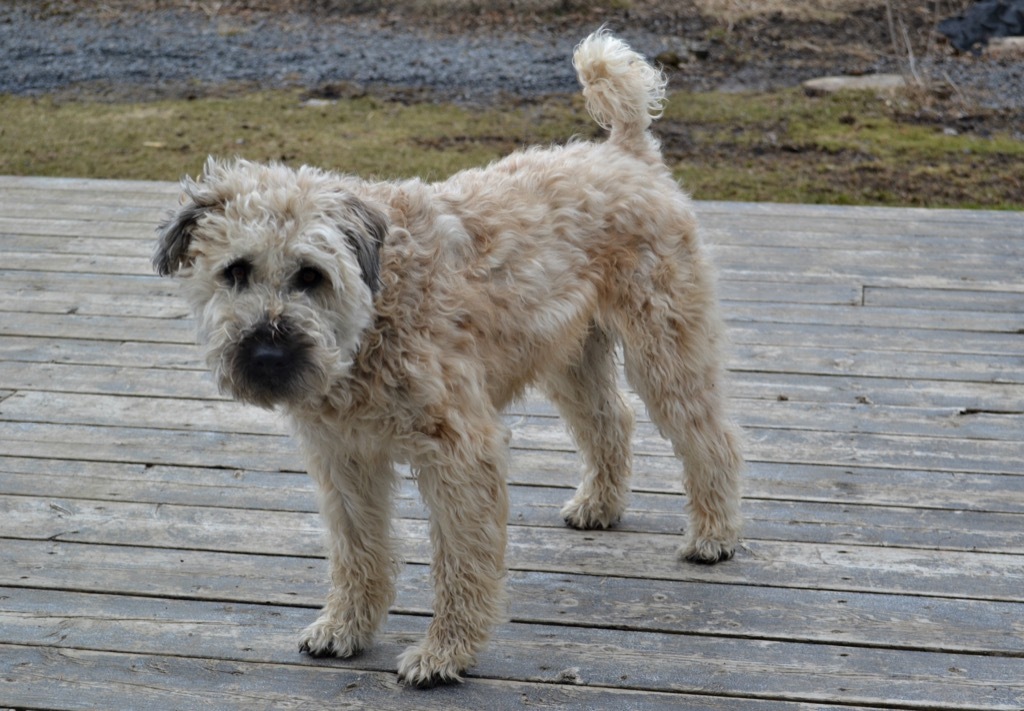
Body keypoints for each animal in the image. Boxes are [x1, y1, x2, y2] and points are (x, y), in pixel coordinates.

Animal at [153, 30, 745, 688]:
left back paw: (713, 535)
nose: (267, 352)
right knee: (611, 419)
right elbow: (358, 551)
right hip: (571, 355)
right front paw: (345, 627)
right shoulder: (344, 456)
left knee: (710, 436)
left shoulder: (460, 450)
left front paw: (444, 653)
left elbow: (461, 562)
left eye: (310, 274)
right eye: (235, 271)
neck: (374, 318)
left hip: (664, 346)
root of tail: (628, 150)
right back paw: (599, 505)